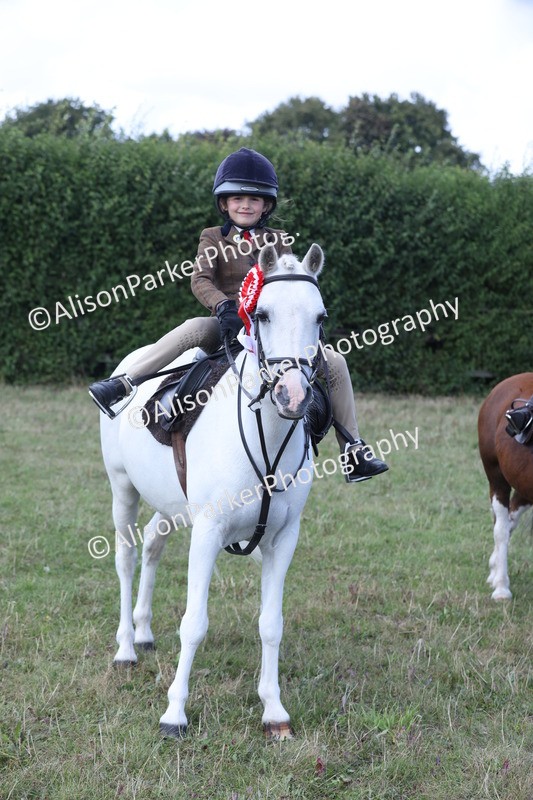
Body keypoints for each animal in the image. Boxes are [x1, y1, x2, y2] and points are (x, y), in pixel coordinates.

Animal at [99, 243, 327, 739]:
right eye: (260, 313)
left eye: (320, 317)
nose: (293, 394)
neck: (264, 439)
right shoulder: (206, 532)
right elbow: (194, 624)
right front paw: (174, 714)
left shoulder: (283, 538)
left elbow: (271, 624)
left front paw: (274, 711)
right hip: (122, 489)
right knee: (126, 558)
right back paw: (126, 647)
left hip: (169, 504)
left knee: (153, 544)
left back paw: (143, 632)